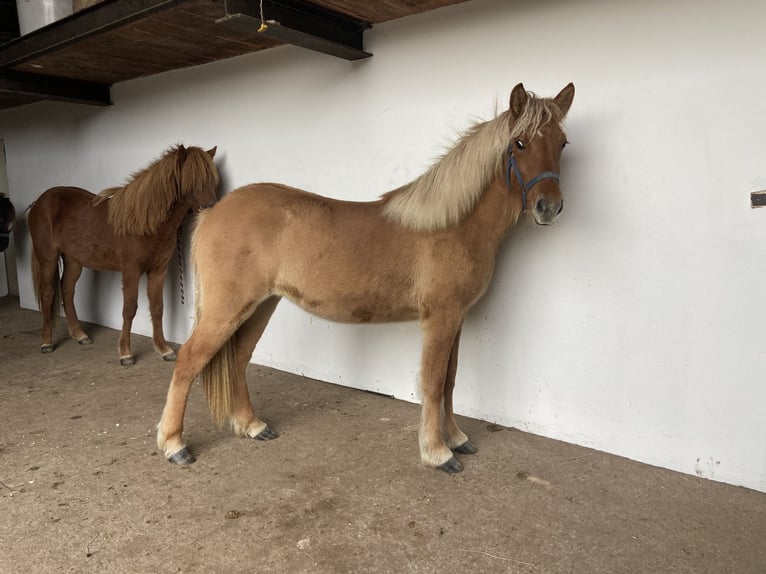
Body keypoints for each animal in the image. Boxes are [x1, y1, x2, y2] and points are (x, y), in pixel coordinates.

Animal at [27, 146, 219, 366]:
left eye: (212, 178)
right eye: (191, 179)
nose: (211, 207)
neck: (145, 223)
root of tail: (39, 202)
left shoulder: (158, 270)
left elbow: (157, 308)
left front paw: (164, 349)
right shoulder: (131, 271)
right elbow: (129, 309)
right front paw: (126, 353)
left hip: (73, 260)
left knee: (67, 290)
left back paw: (80, 335)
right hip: (47, 257)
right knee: (48, 293)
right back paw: (47, 342)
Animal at [158, 84, 576, 472]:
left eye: (562, 142)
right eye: (519, 143)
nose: (549, 207)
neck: (453, 225)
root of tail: (212, 213)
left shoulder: (456, 318)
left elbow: (450, 380)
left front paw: (457, 438)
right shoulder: (440, 318)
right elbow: (433, 382)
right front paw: (438, 452)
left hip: (261, 304)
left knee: (240, 357)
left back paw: (253, 426)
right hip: (226, 309)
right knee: (188, 361)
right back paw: (175, 444)